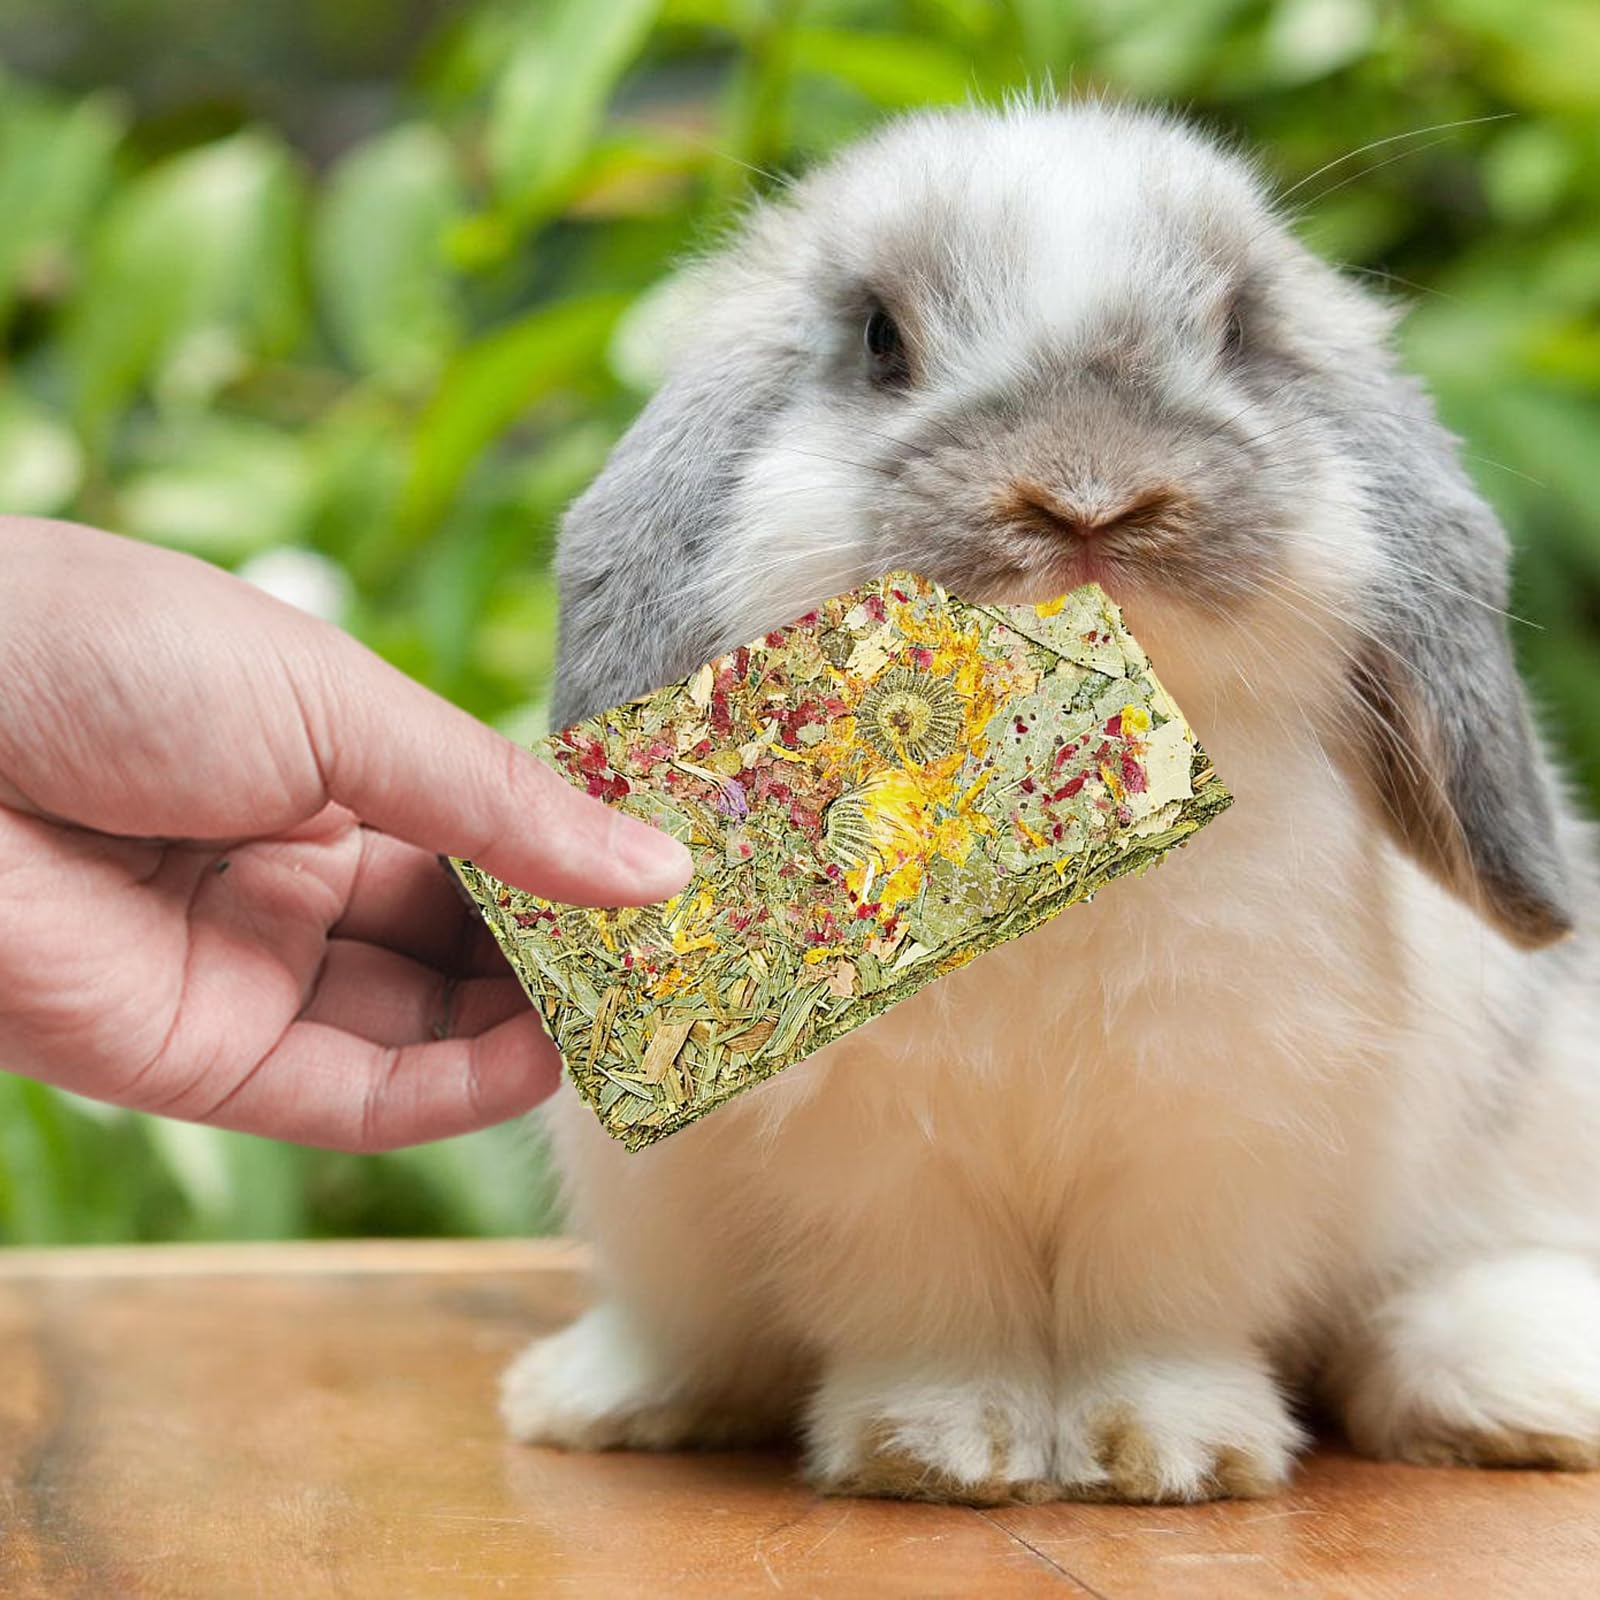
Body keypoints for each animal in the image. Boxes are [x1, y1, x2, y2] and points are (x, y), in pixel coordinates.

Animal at [500, 99, 1600, 1504]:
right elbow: (931, 1306)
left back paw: (1522, 1393)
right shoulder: (880, 1162)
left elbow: (1159, 1306)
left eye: (1238, 332)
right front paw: (937, 1452)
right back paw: (597, 1397)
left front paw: (1166, 1456)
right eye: (880, 339)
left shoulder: (1207, 1130)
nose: (1087, 494)